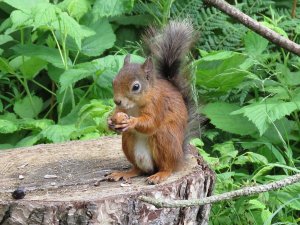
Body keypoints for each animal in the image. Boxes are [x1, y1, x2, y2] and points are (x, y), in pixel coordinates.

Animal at [107, 20, 197, 184]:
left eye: (136, 87)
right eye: (113, 81)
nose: (117, 101)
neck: (134, 106)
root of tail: (180, 157)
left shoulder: (158, 105)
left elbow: (151, 123)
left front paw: (132, 121)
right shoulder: (122, 109)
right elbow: (117, 114)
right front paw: (110, 121)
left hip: (165, 139)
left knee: (168, 166)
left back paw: (159, 175)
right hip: (128, 141)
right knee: (138, 169)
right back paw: (125, 173)